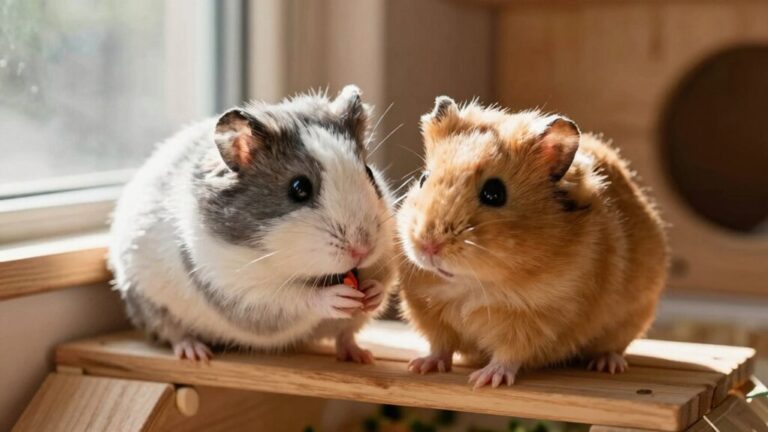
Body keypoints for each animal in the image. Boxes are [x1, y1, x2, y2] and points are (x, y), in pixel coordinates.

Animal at [108, 85, 398, 363]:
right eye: (299, 188)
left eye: (369, 174)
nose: (364, 250)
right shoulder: (241, 291)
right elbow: (296, 298)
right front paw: (338, 297)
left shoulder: (384, 261)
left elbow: (381, 283)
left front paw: (371, 292)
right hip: (152, 305)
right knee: (173, 332)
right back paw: (196, 353)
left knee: (345, 336)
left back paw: (361, 356)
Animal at [397, 96, 668, 388]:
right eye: (423, 179)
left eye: (494, 193)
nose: (428, 245)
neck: (471, 284)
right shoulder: (428, 311)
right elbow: (440, 345)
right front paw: (420, 367)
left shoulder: (535, 318)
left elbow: (508, 354)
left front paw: (484, 380)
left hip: (632, 317)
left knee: (614, 347)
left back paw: (608, 365)